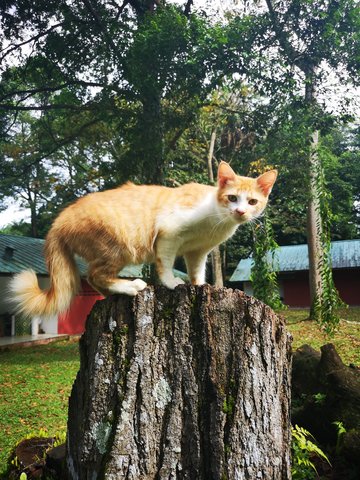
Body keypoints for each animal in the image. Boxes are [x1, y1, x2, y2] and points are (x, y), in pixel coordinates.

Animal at [9, 163, 278, 316]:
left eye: (252, 201)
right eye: (232, 198)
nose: (240, 211)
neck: (215, 220)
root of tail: (59, 221)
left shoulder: (198, 251)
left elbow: (197, 271)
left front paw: (201, 285)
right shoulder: (169, 234)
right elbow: (165, 265)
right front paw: (171, 283)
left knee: (95, 280)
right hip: (117, 246)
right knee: (95, 275)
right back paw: (129, 286)